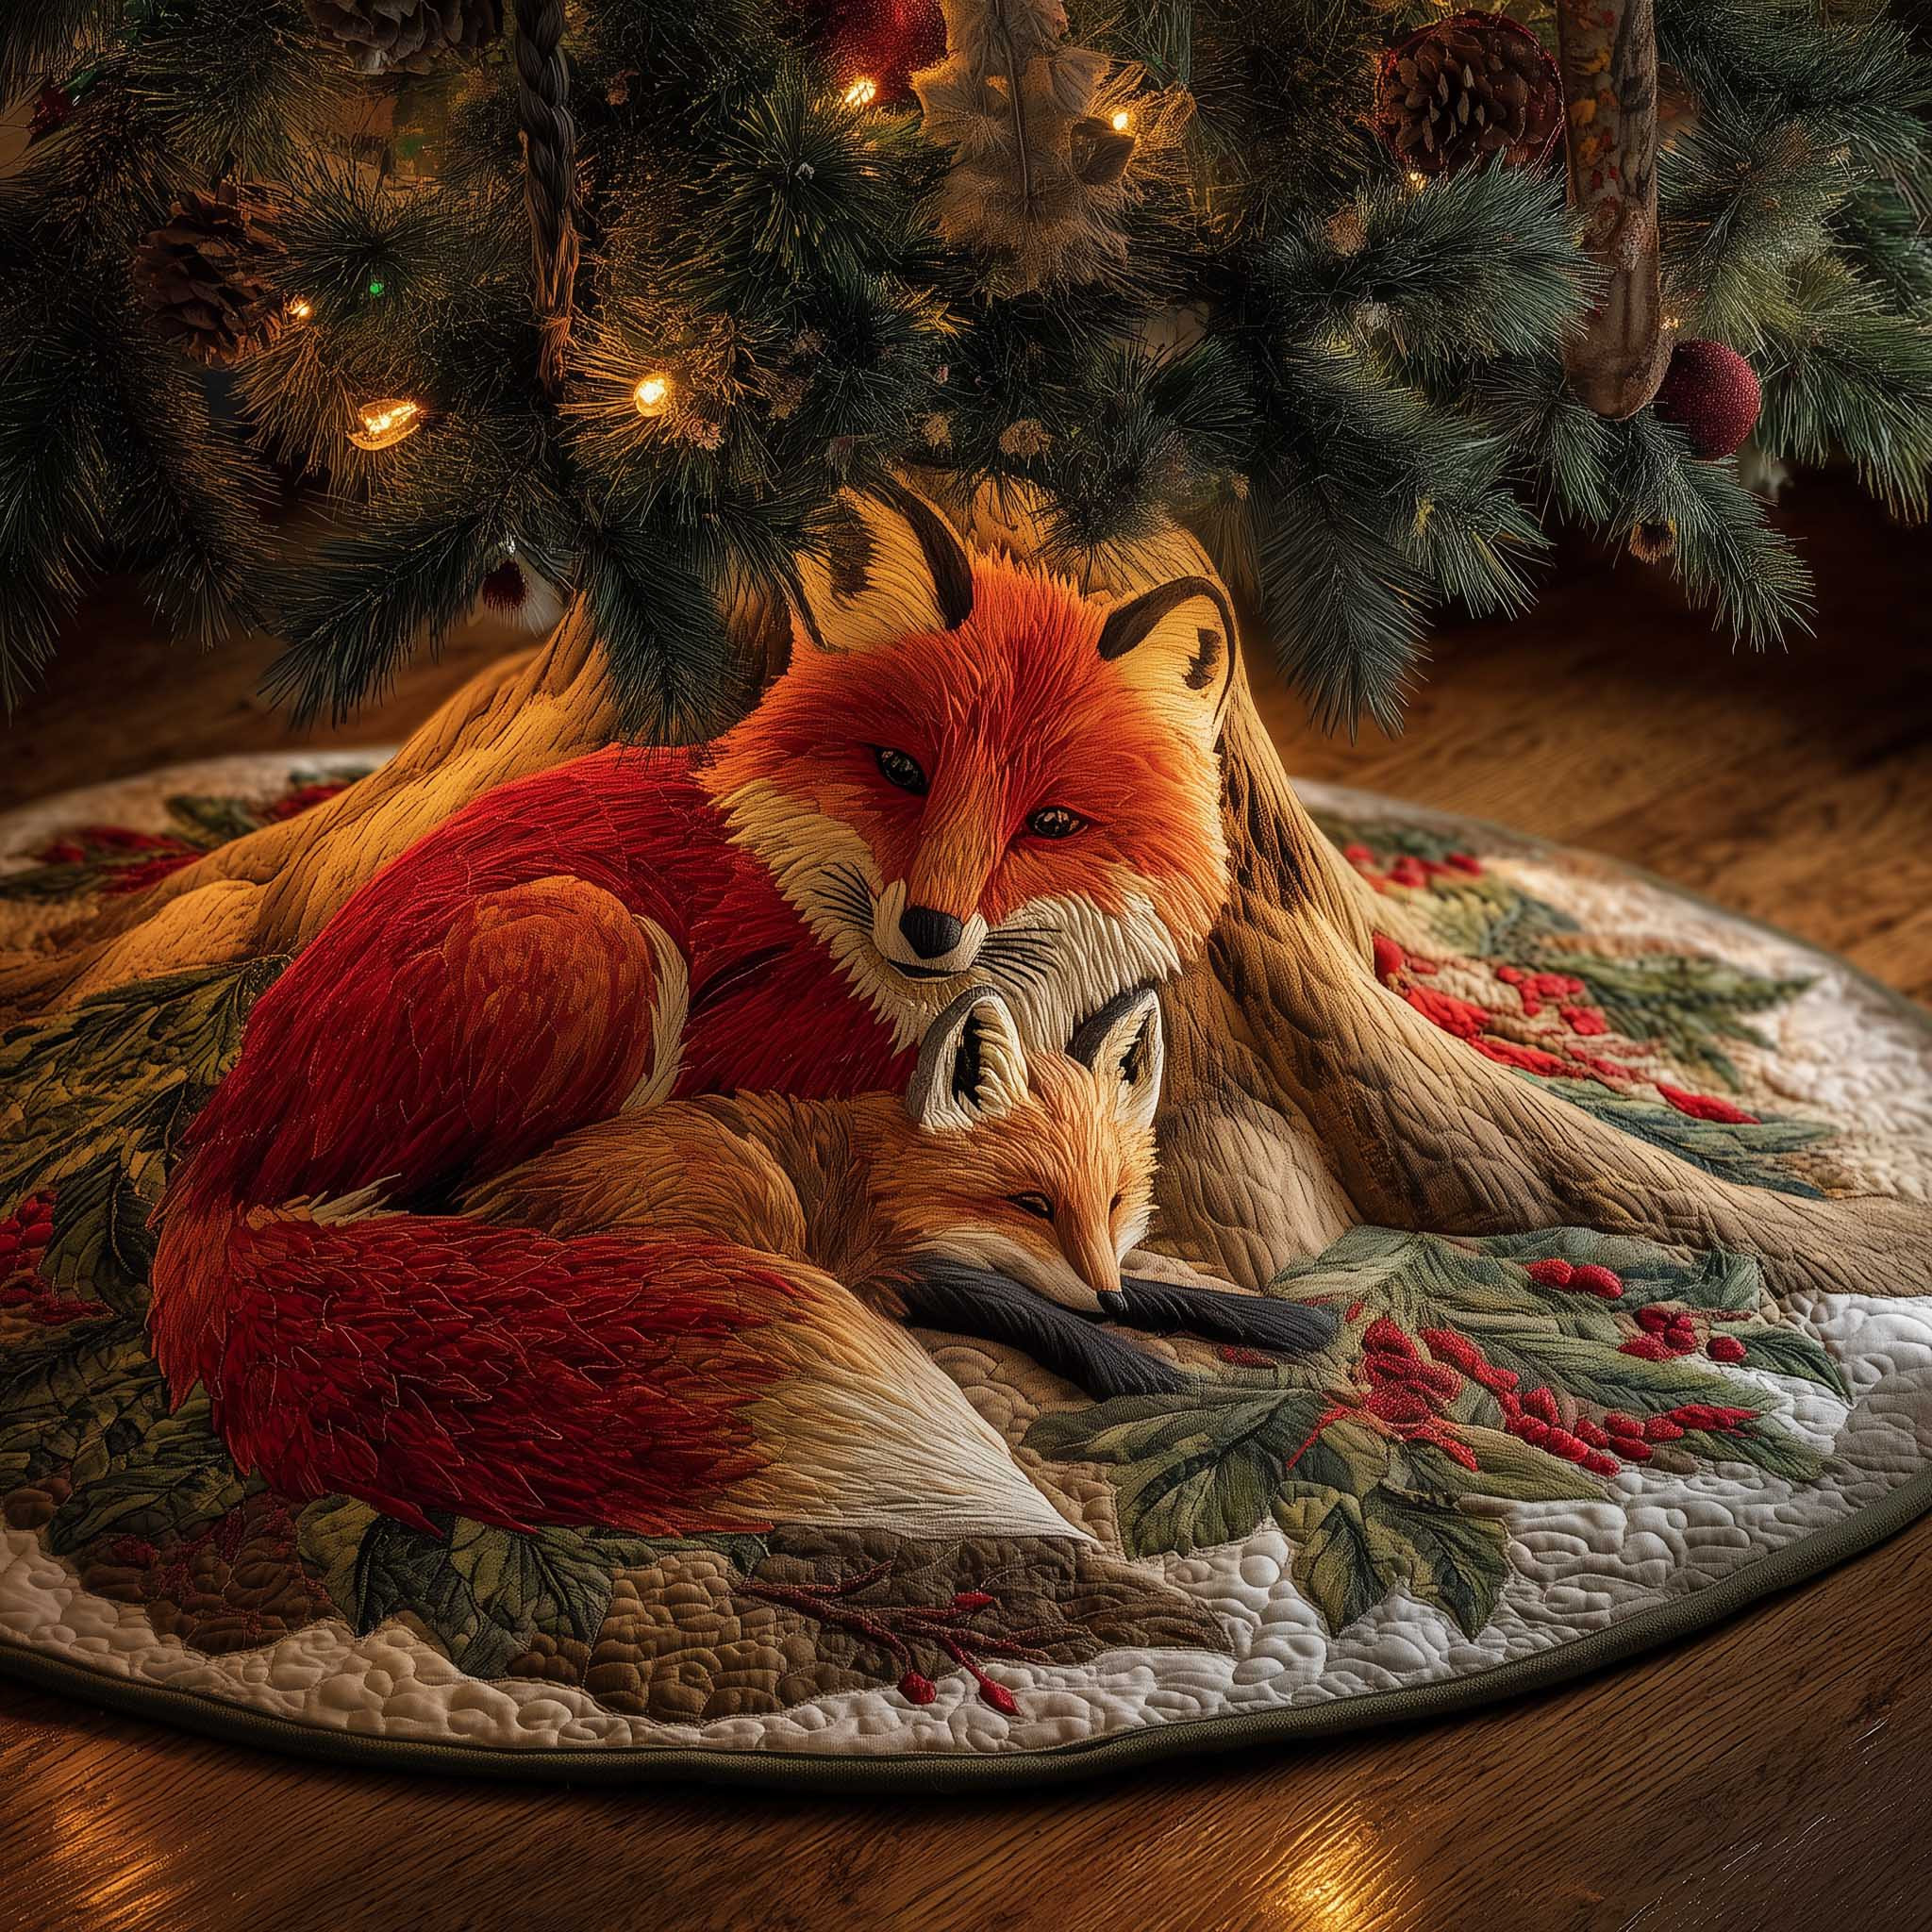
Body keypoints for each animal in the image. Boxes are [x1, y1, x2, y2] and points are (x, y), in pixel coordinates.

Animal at [149, 485, 1245, 1532]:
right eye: (901, 770)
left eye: (1051, 822)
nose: (931, 928)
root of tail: (211, 1161)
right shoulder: (797, 1112)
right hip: (595, 941)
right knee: (451, 1212)